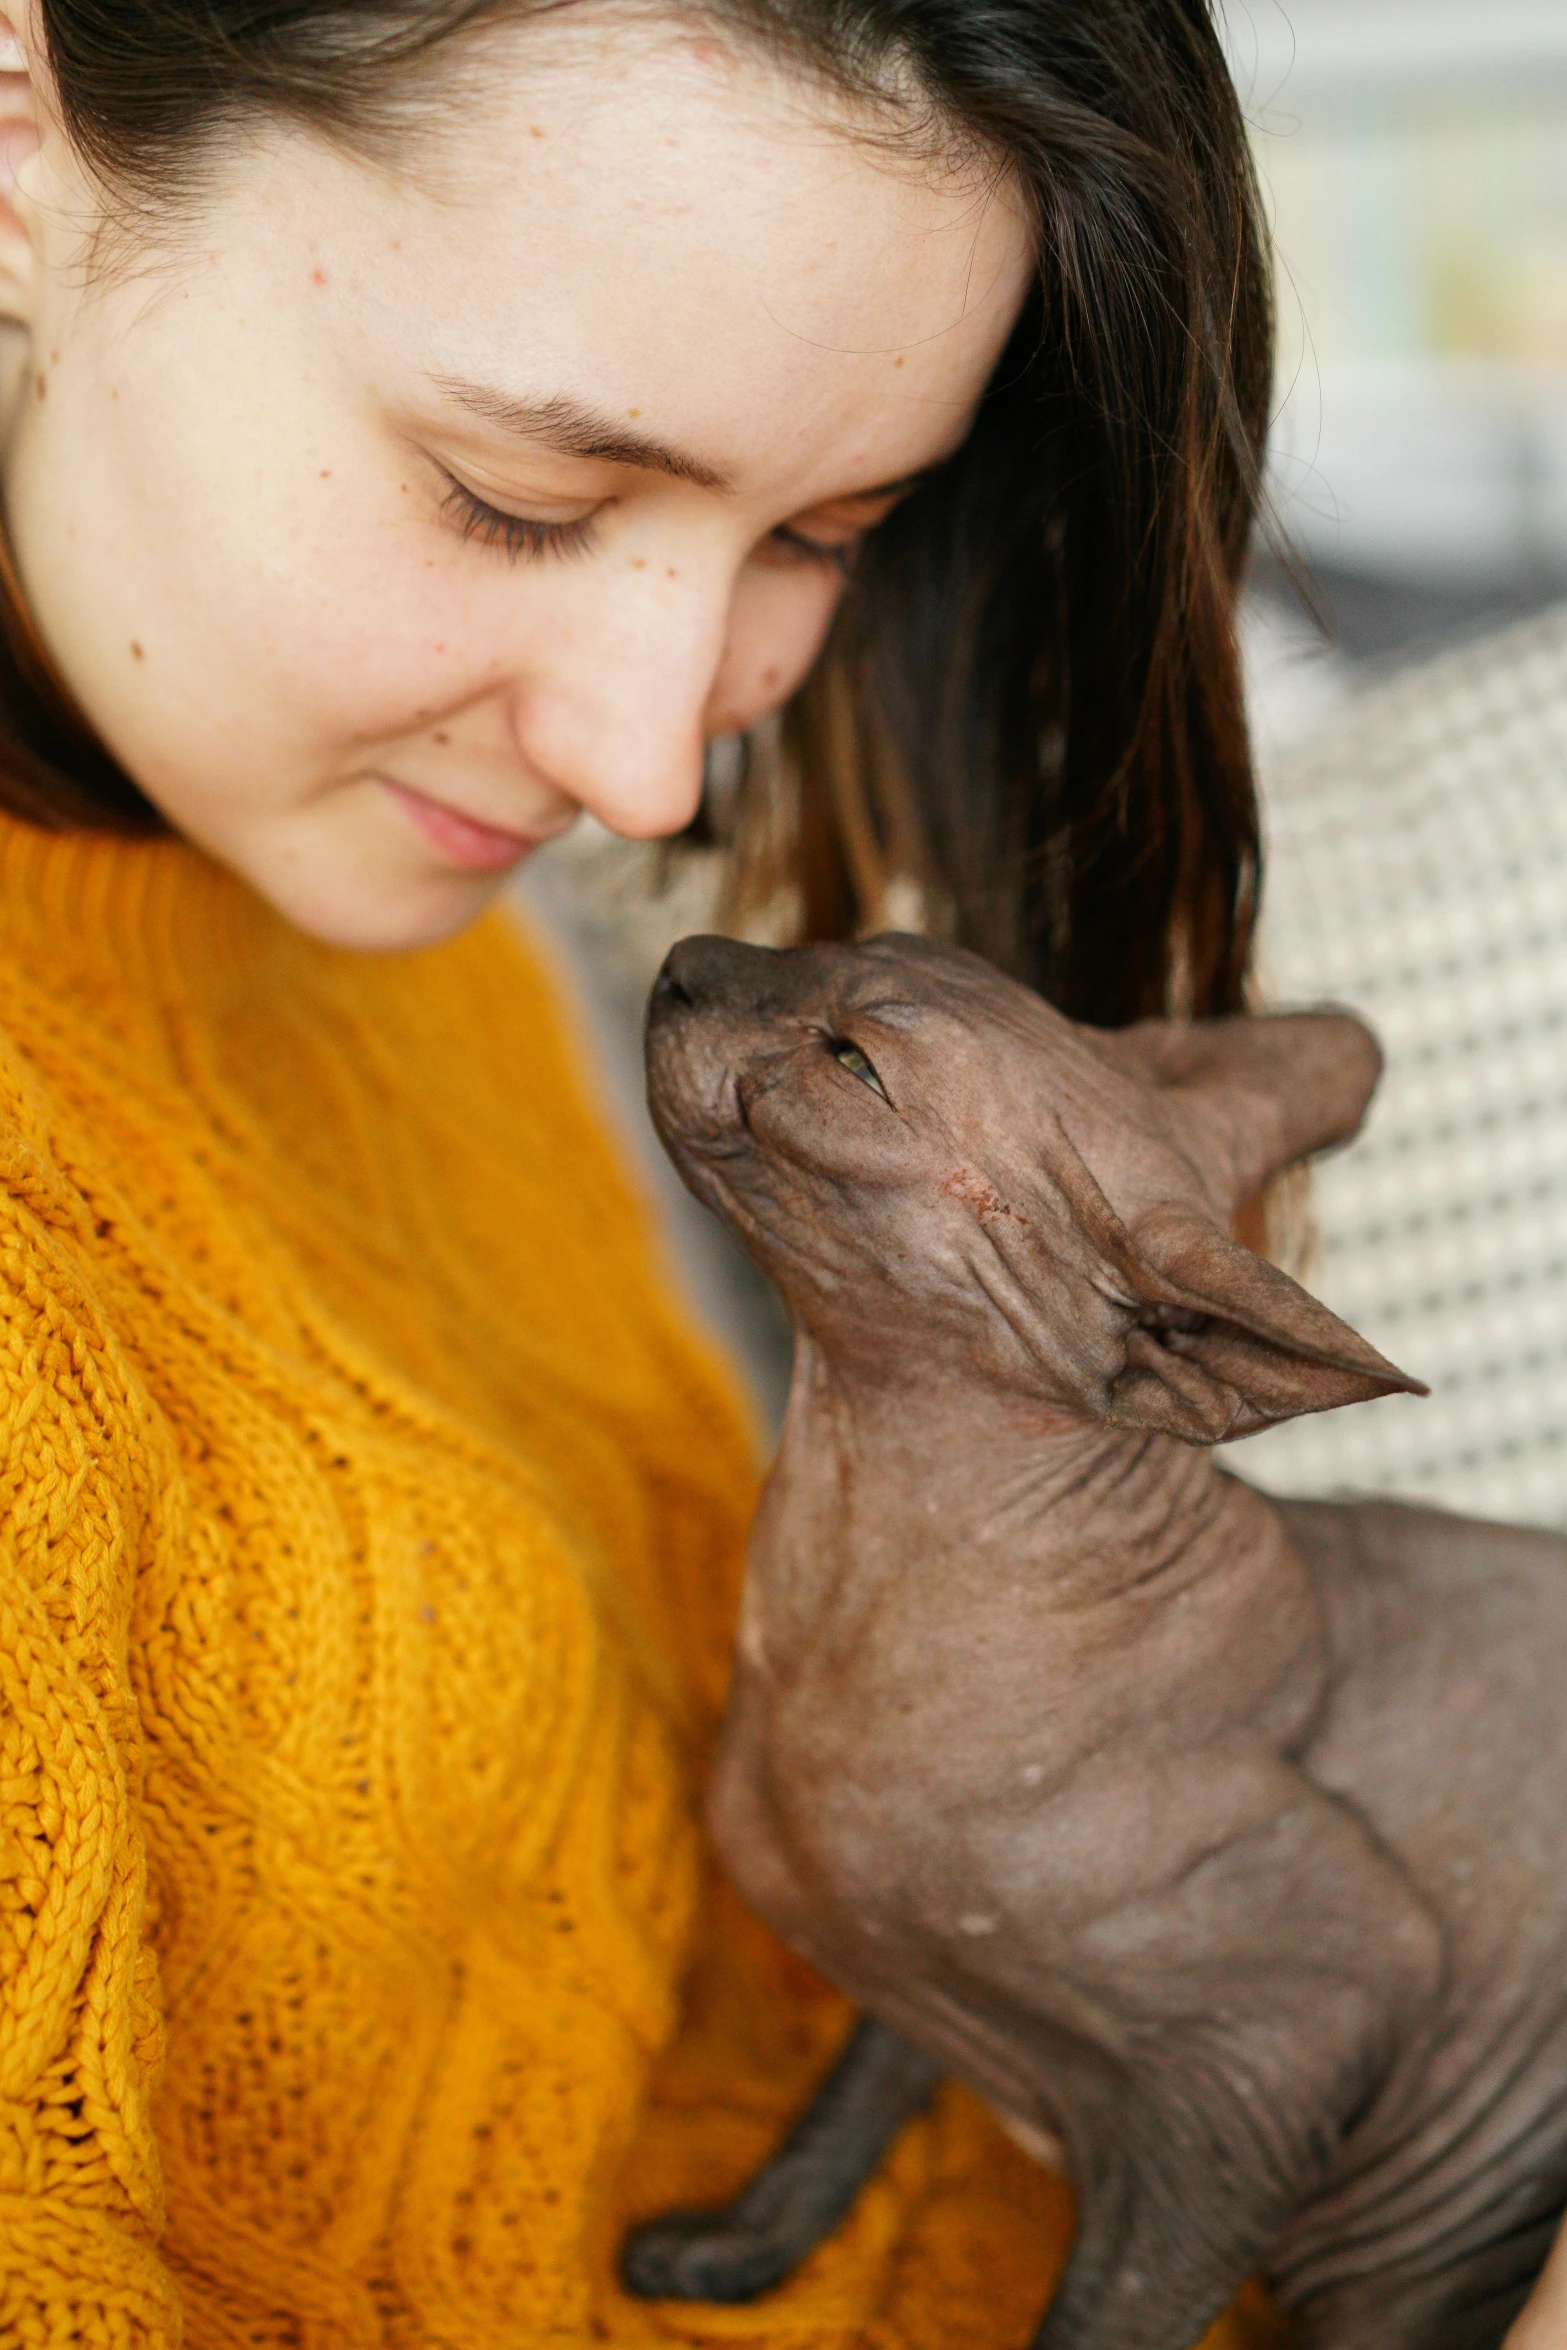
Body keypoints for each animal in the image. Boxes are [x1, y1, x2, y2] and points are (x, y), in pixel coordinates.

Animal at [620, 930, 1567, 2350]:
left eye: (854, 1063)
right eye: (840, 949)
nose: (686, 959)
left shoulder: (1291, 2036)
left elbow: (1098, 2317)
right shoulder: (916, 1981)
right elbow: (843, 2104)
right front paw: (732, 2251)